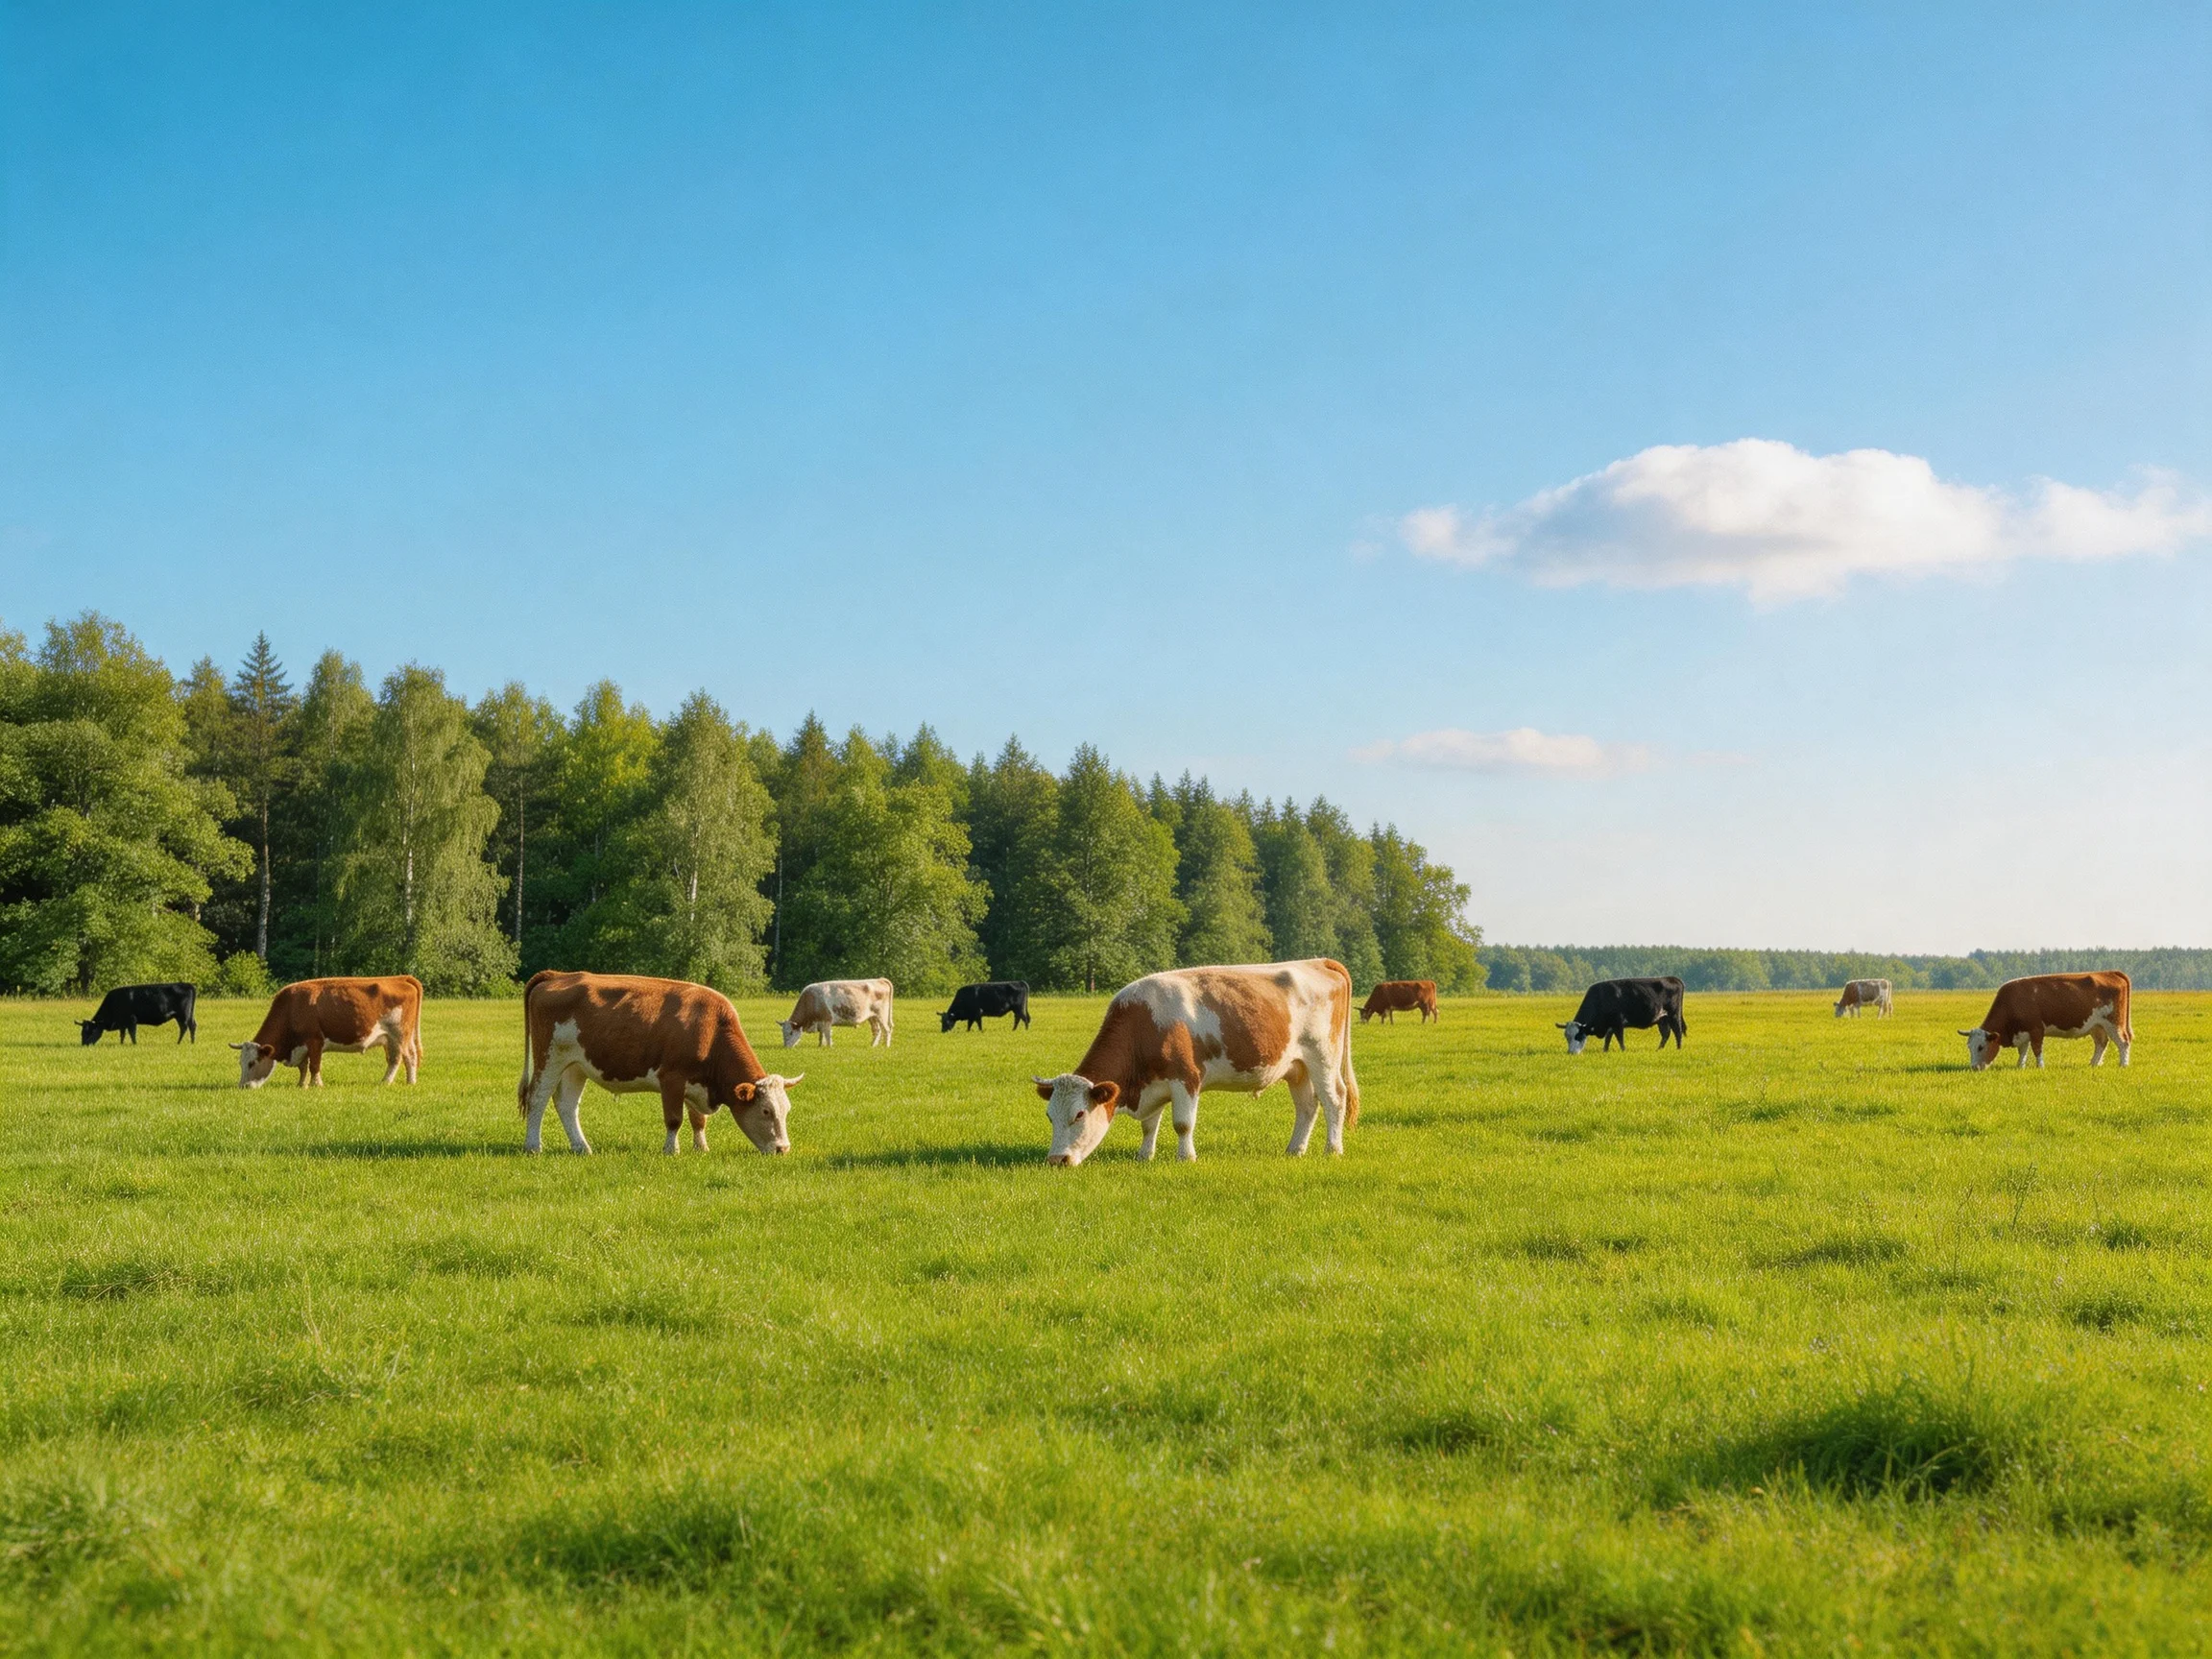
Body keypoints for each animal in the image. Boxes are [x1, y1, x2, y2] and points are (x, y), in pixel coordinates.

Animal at [230, 976, 422, 1087]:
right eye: (240, 1063)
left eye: (252, 1063)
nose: (242, 1086)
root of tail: (401, 978)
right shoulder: (302, 1045)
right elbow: (303, 1067)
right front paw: (301, 1084)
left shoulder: (315, 1040)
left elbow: (314, 1065)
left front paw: (316, 1085)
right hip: (392, 1038)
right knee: (404, 1057)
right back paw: (409, 1081)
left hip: (399, 1034)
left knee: (401, 1058)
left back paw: (390, 1082)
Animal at [517, 971, 800, 1154]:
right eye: (766, 1111)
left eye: (787, 1110)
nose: (783, 1149)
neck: (712, 1028)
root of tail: (558, 975)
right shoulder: (672, 1078)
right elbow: (674, 1119)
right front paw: (671, 1150)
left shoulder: (696, 1082)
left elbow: (698, 1120)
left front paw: (701, 1148)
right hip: (550, 1057)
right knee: (537, 1098)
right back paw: (533, 1146)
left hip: (575, 1065)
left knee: (566, 1105)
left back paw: (581, 1147)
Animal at [1032, 959, 1359, 1167]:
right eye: (1049, 1116)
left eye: (1079, 1114)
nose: (1056, 1160)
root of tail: (1318, 961)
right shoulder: (1154, 1083)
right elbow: (1149, 1126)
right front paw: (1144, 1156)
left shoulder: (1185, 1078)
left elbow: (1182, 1124)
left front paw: (1185, 1157)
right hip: (1297, 1067)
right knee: (1307, 1105)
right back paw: (1295, 1150)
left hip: (1323, 1057)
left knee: (1334, 1099)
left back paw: (1333, 1149)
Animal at [1557, 977, 1686, 1053]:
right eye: (1567, 1037)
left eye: (1578, 1036)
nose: (1571, 1053)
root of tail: (1672, 978)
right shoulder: (1610, 1024)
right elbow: (1608, 1038)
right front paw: (1605, 1051)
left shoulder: (1618, 1022)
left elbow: (1619, 1038)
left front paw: (1623, 1050)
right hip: (1662, 1018)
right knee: (1666, 1033)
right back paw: (1658, 1049)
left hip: (1674, 1014)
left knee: (1677, 1031)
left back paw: (1678, 1049)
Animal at [1960, 972, 2132, 1070]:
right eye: (1969, 1047)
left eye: (1981, 1047)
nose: (1974, 1067)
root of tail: (2112, 973)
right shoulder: (2022, 1031)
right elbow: (2023, 1050)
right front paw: (2020, 1066)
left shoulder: (2036, 1029)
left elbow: (2037, 1049)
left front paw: (2040, 1066)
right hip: (2096, 1026)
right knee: (2101, 1043)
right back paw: (2094, 1064)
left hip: (2114, 1022)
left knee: (2123, 1042)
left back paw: (2123, 1065)